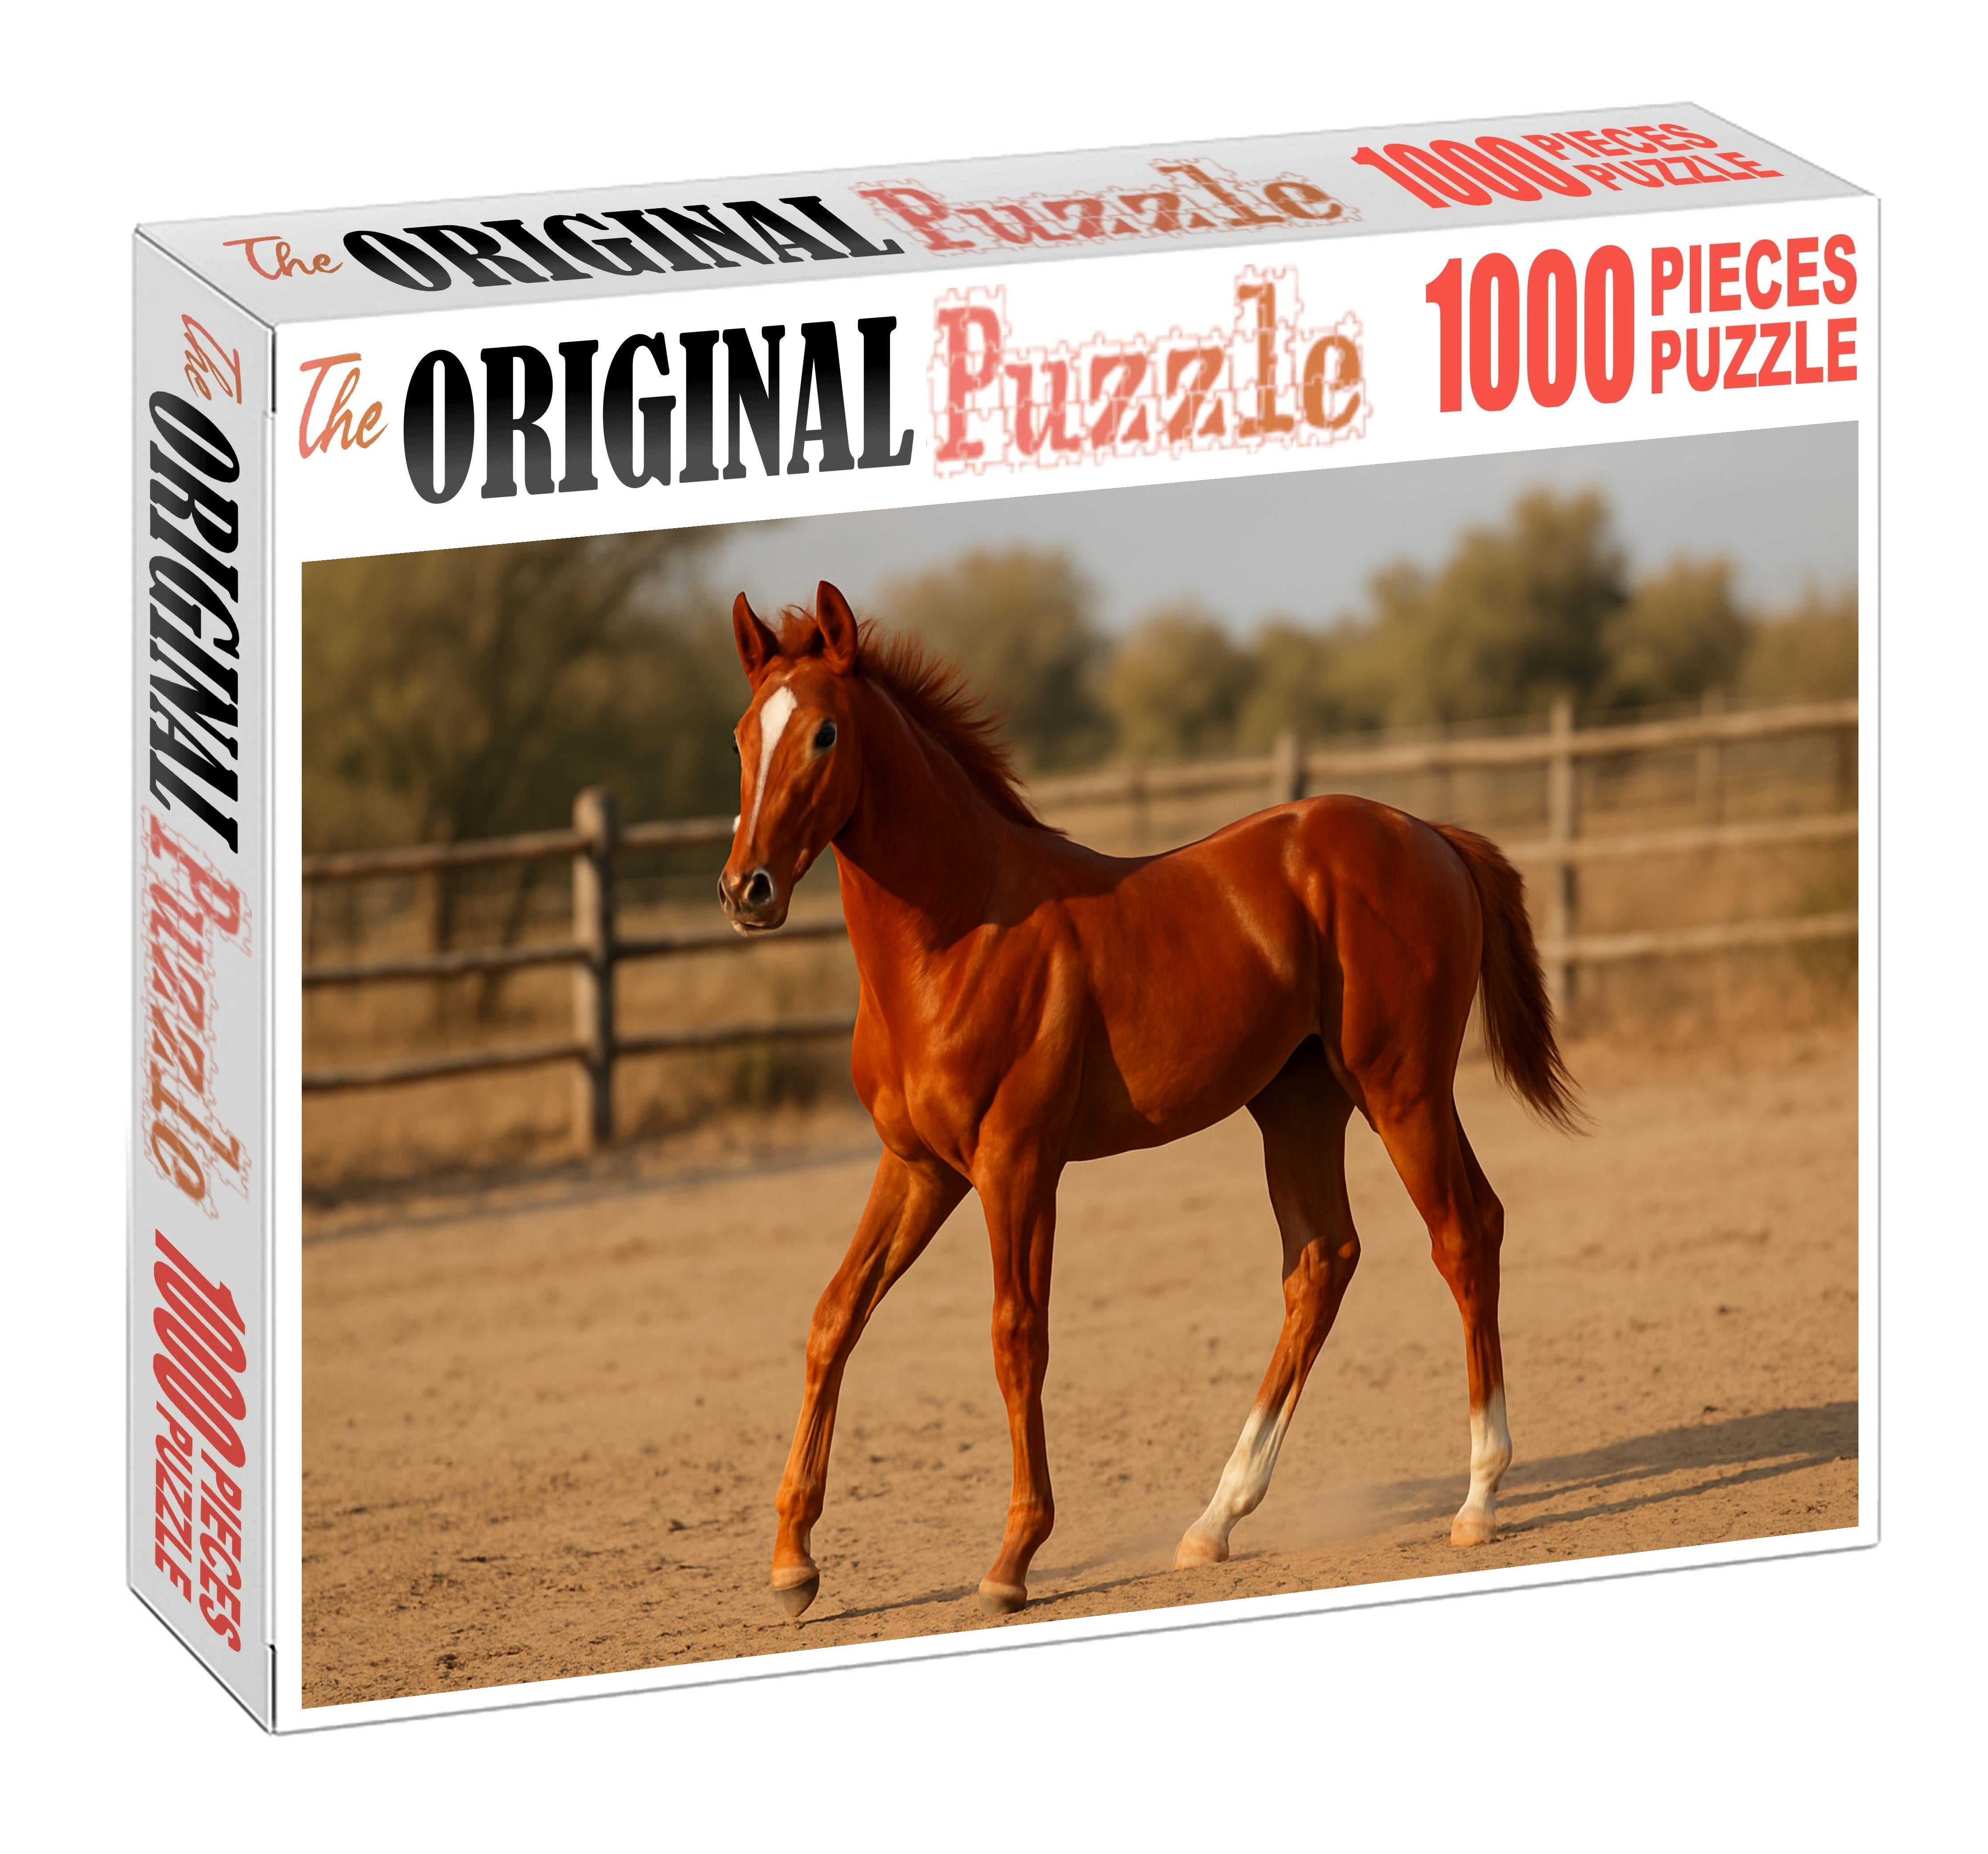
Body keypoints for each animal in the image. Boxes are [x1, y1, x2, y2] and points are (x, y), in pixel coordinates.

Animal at [718, 582, 1580, 1621]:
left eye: (826, 734)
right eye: (740, 736)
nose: (746, 888)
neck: (960, 932)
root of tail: (1430, 835)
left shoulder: (1016, 1165)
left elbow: (1016, 1336)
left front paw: (1012, 1558)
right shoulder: (919, 1166)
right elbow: (834, 1314)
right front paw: (792, 1564)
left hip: (1401, 1089)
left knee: (1460, 1234)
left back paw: (1478, 1497)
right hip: (1300, 1108)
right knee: (1324, 1261)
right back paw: (1216, 1520)